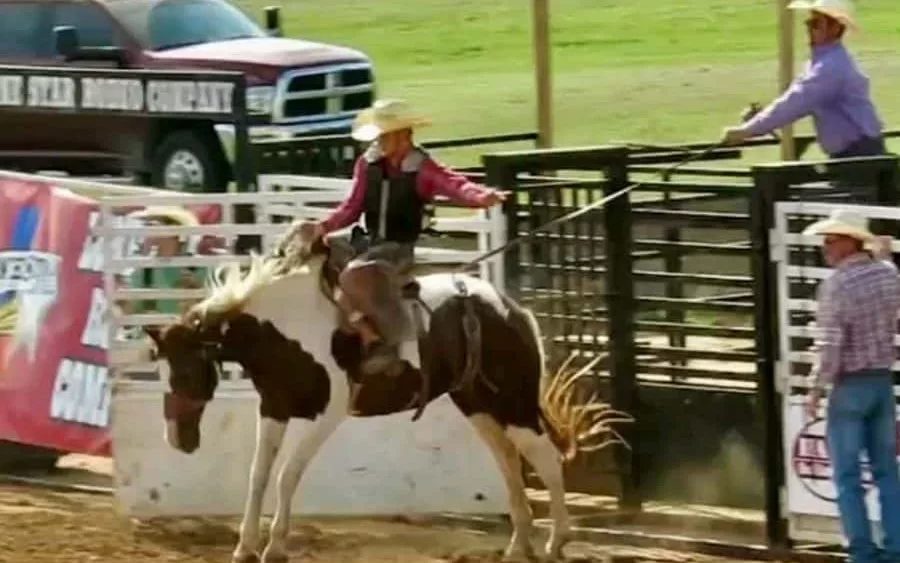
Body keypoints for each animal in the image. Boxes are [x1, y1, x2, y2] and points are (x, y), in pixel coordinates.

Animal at [144, 221, 628, 563]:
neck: (285, 327)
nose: (177, 440)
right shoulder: (275, 408)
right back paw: (517, 546)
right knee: (509, 460)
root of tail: (509, 308)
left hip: (514, 403)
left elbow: (287, 475)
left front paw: (275, 547)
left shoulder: (327, 413)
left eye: (186, 372)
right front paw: (244, 546)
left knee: (543, 457)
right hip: (478, 404)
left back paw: (556, 541)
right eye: (163, 370)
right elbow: (259, 475)